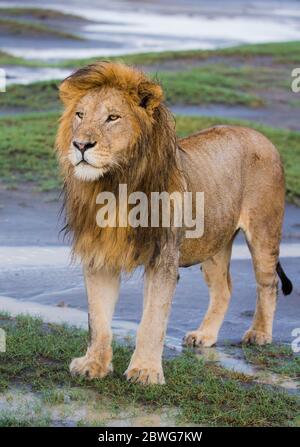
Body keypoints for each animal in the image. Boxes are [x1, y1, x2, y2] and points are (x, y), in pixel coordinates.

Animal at [55, 62, 292, 384]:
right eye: (80, 114)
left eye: (112, 117)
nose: (80, 144)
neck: (114, 185)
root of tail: (262, 137)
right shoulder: (100, 255)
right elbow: (98, 319)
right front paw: (94, 365)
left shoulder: (163, 257)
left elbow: (152, 320)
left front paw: (145, 372)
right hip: (214, 243)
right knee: (224, 289)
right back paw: (205, 335)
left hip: (264, 231)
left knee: (268, 283)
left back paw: (259, 334)